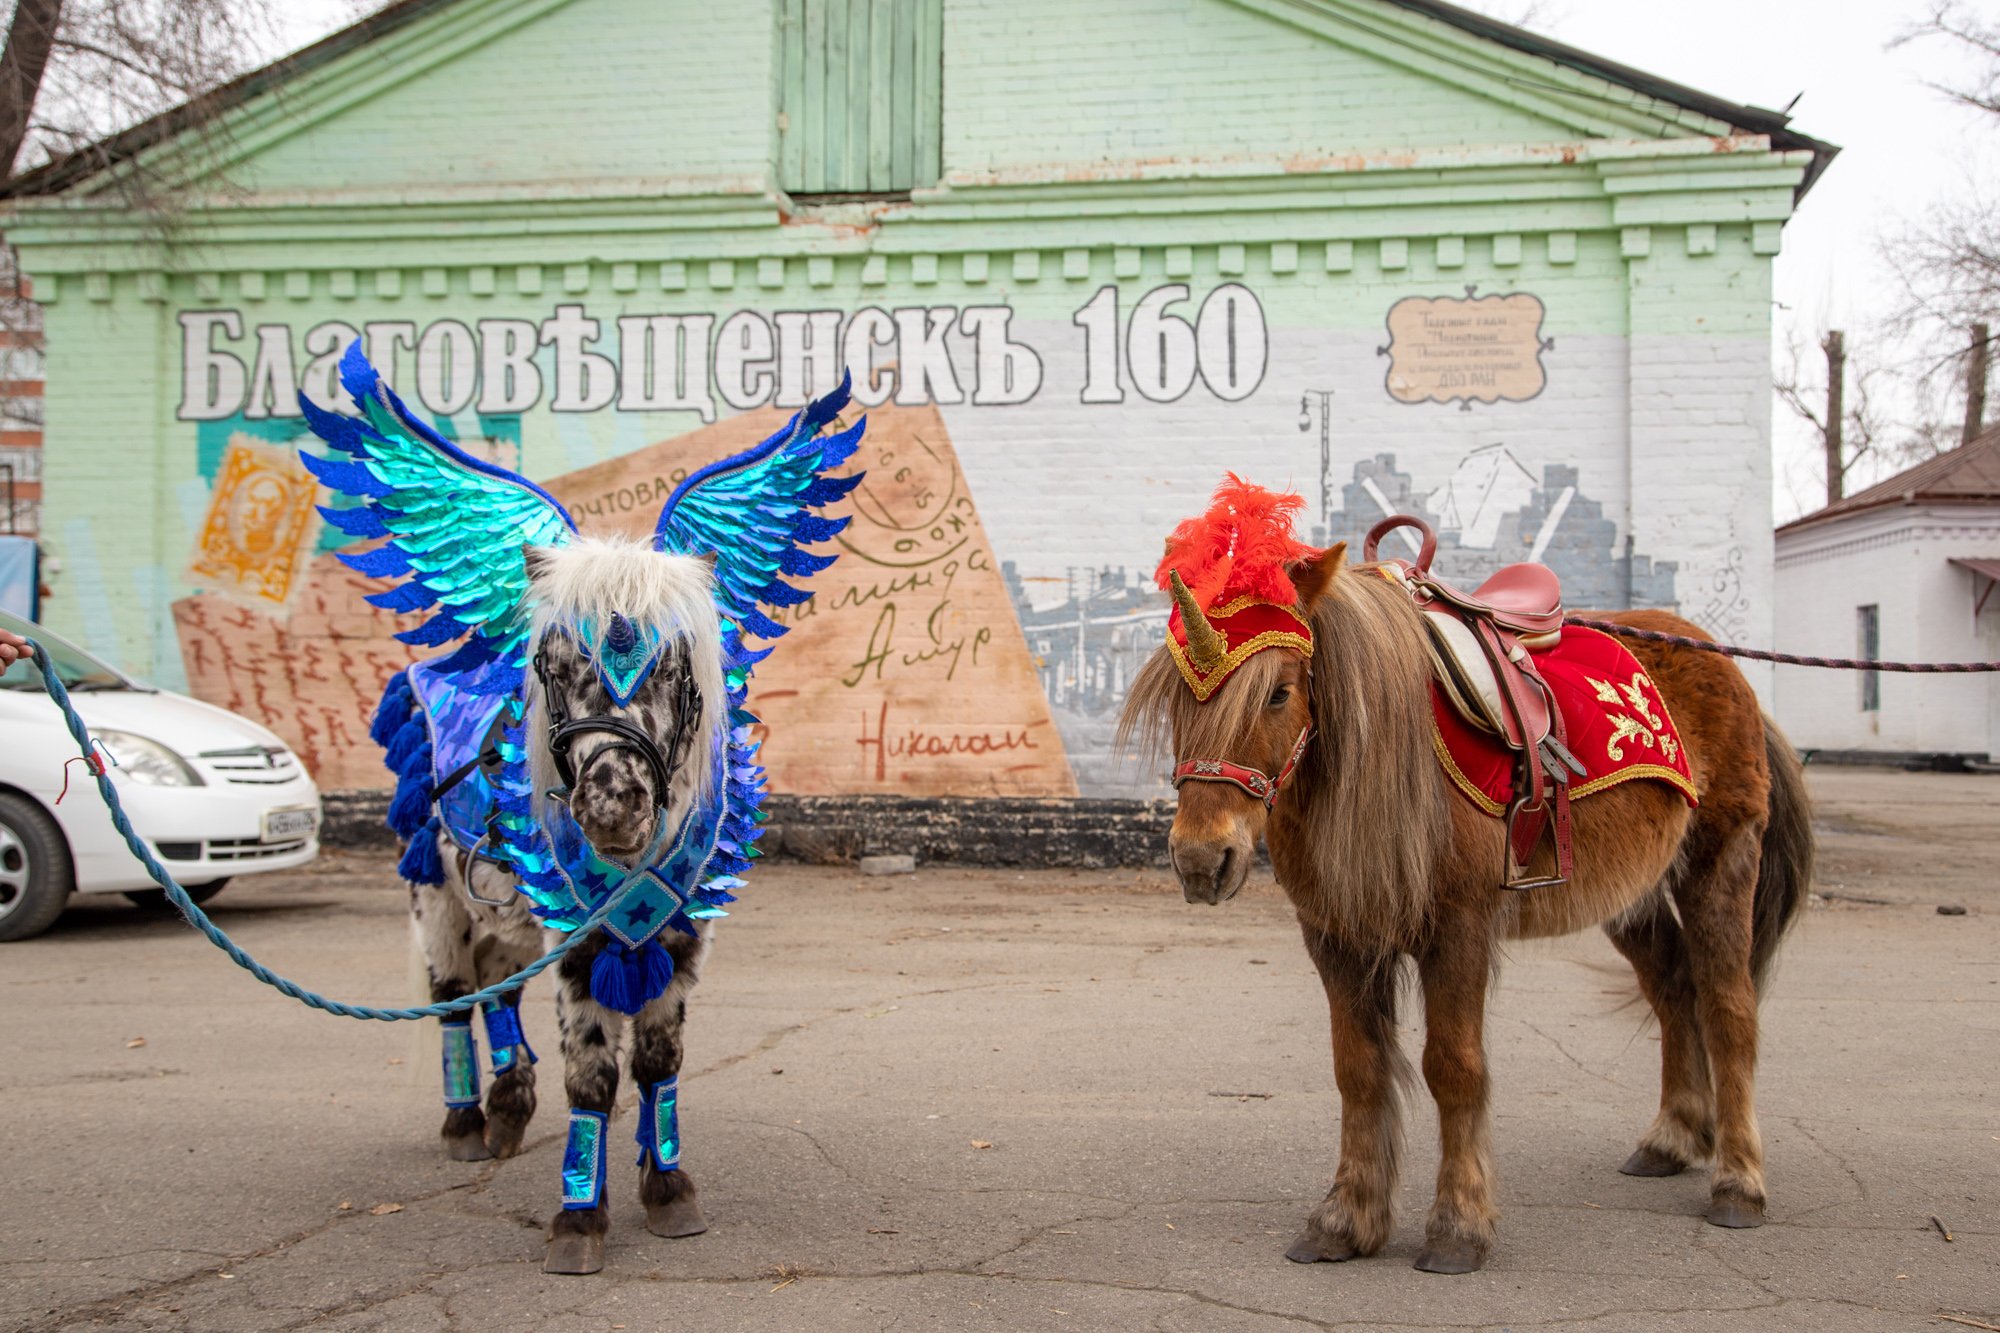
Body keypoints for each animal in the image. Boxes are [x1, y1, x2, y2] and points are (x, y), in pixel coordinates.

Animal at [1120, 528, 1824, 1264]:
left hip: (1721, 862)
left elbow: (1454, 1067)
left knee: (1728, 1008)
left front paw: (1459, 1223)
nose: (1202, 860)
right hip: (1631, 895)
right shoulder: (1337, 934)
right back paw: (1675, 1136)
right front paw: (1346, 1217)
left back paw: (1739, 1183)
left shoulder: (1456, 929)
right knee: (1674, 990)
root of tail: (1722, 664)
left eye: (1280, 693)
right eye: (1174, 696)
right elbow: (1358, 1069)